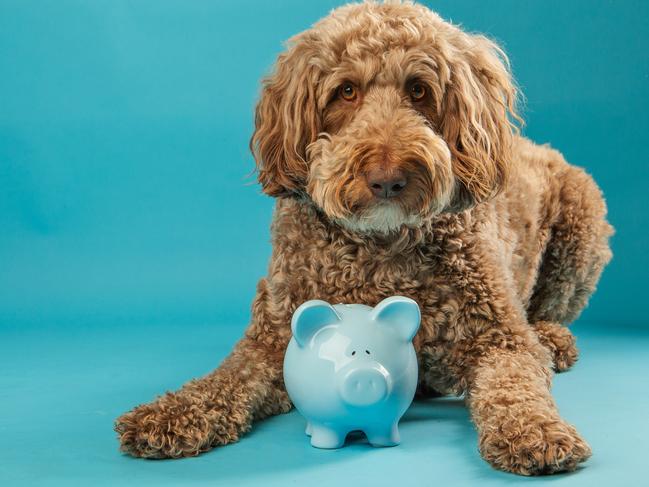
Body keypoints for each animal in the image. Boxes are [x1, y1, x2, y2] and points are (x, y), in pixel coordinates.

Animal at [112, 1, 612, 476]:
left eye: (418, 89)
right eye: (346, 90)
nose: (387, 178)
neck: (378, 247)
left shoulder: (500, 339)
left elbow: (515, 386)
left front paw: (536, 430)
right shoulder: (272, 339)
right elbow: (228, 377)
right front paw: (172, 412)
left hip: (582, 216)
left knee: (550, 309)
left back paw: (552, 338)